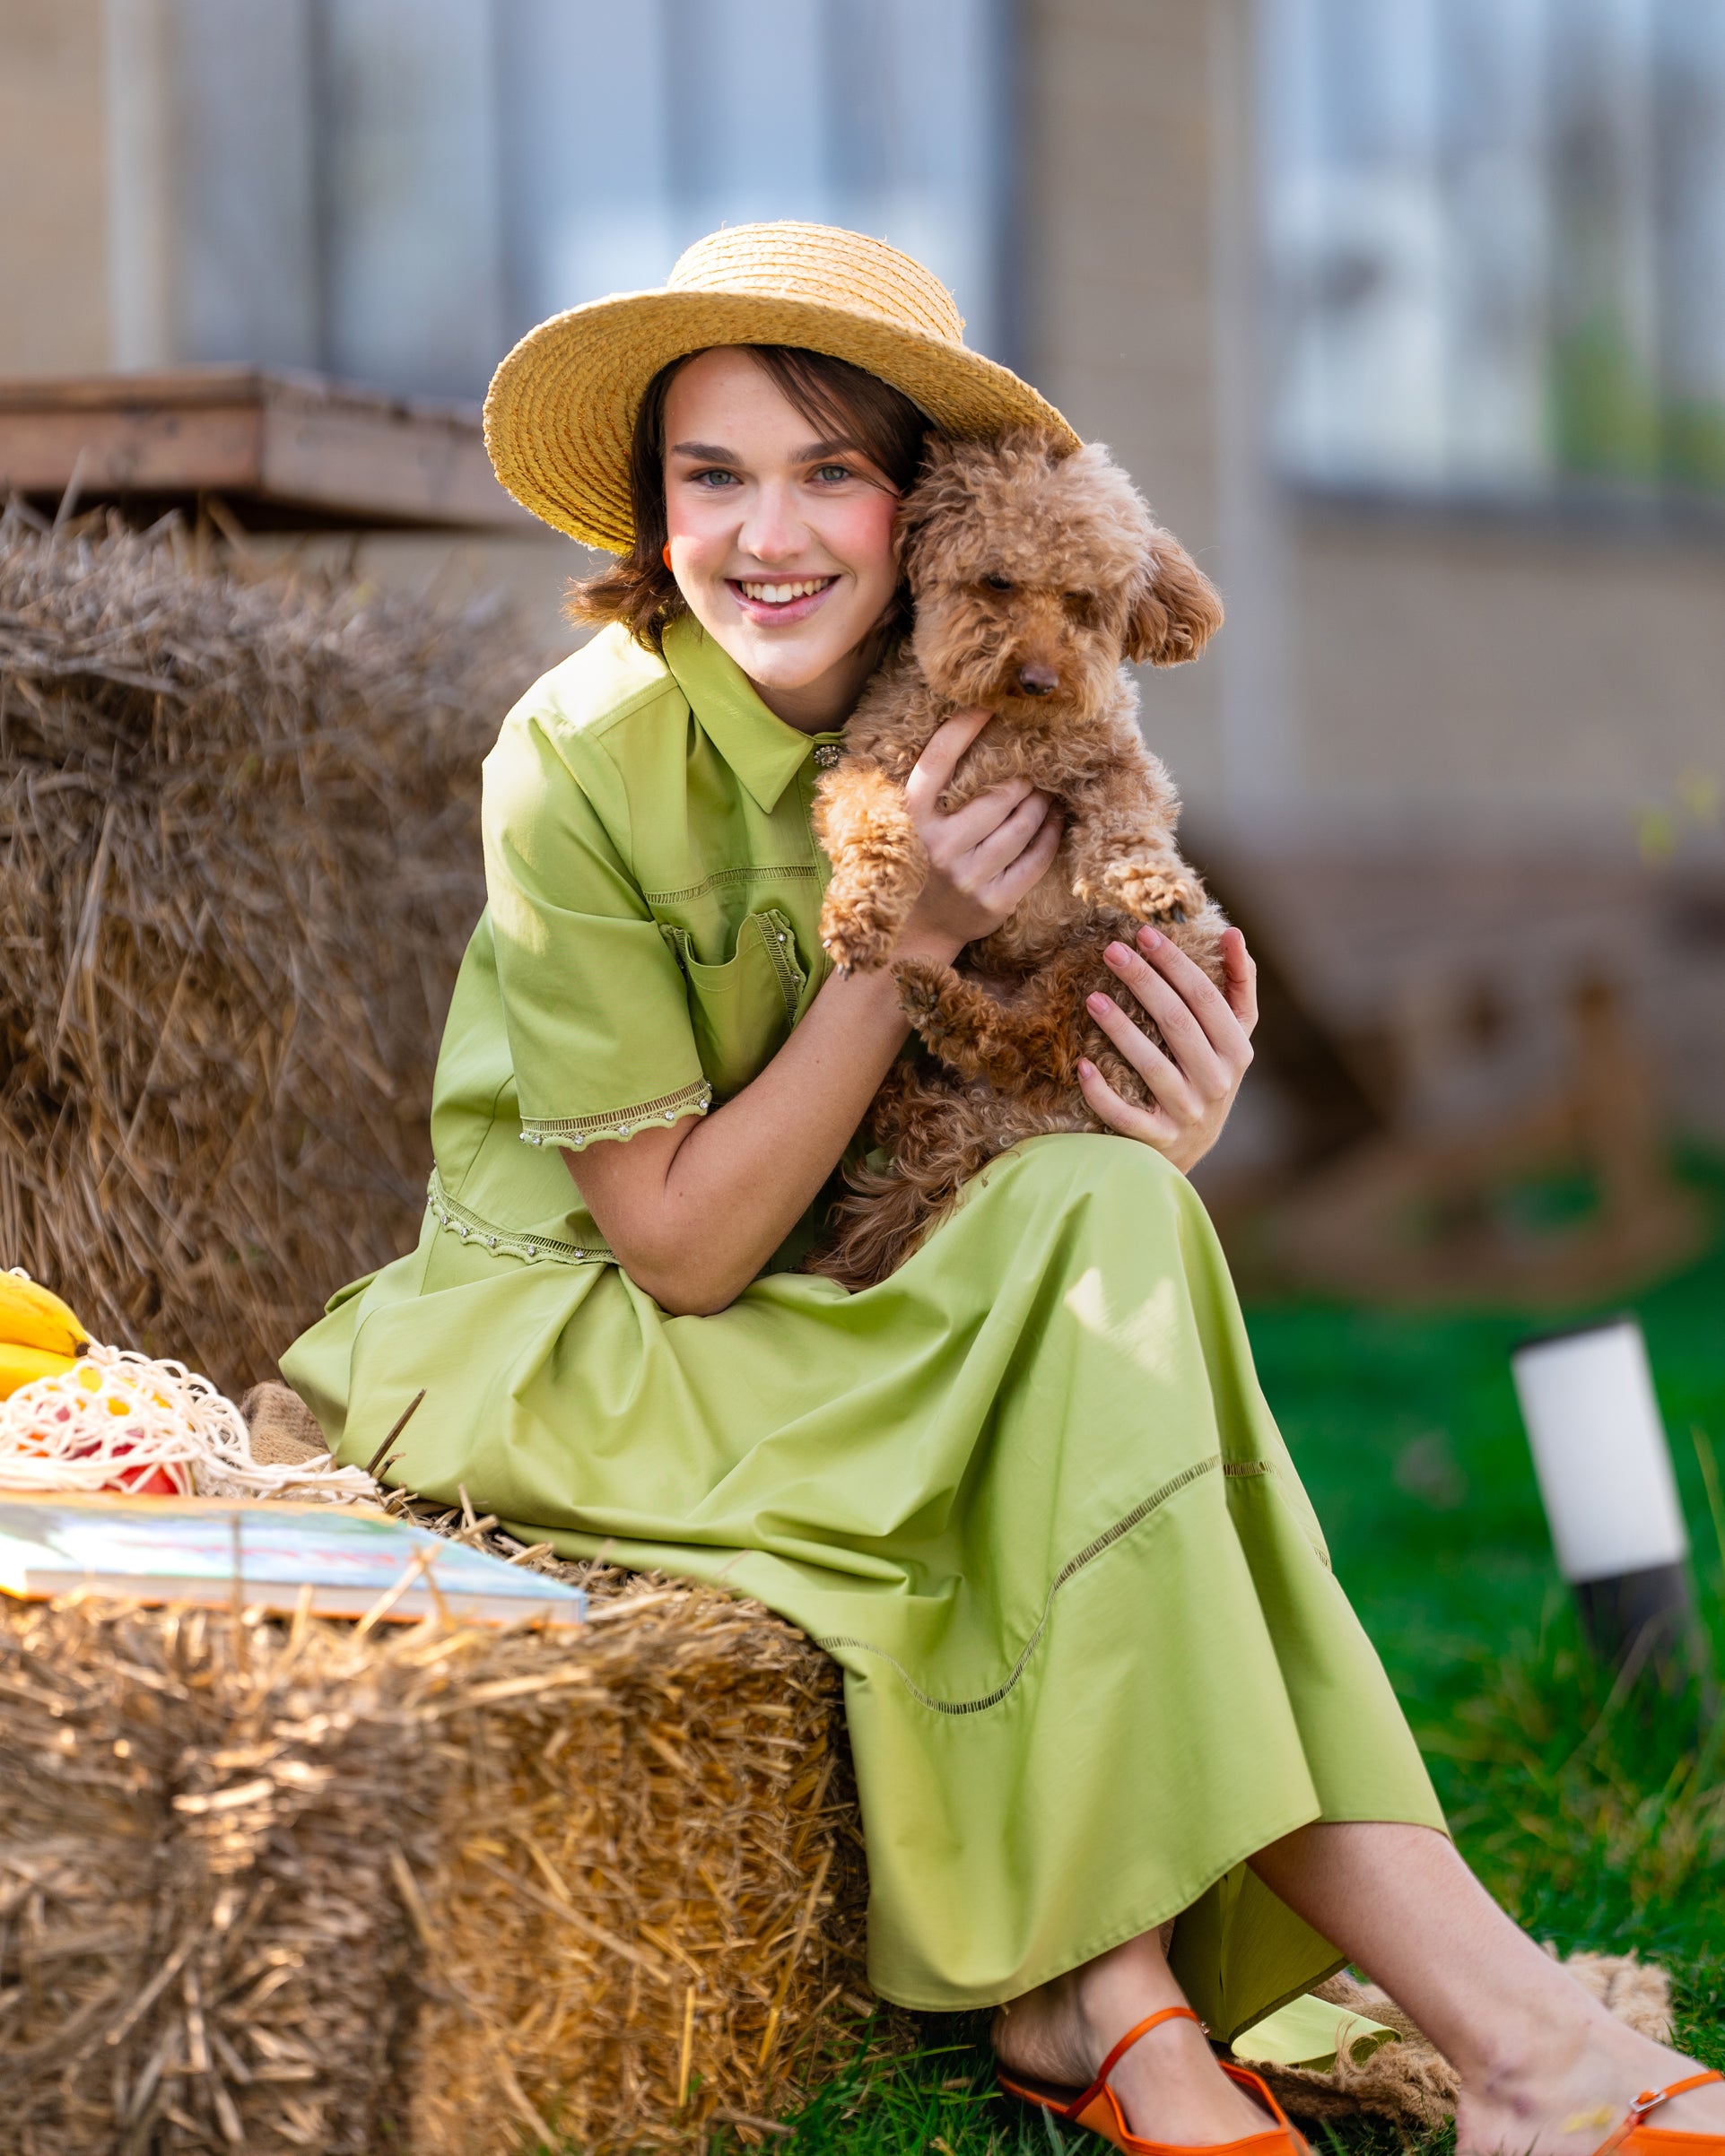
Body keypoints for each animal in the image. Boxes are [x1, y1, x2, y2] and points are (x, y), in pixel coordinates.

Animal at [810, 429, 1224, 1284]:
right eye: (997, 580)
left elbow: (1125, 818)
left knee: (1039, 1048)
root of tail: (1013, 1124)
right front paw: (861, 916)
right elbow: (870, 827)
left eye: (1083, 602)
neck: (1005, 727)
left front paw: (1152, 878)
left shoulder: (1112, 759)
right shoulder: (869, 766)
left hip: (1119, 961)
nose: (1038, 677)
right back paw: (913, 1047)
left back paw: (941, 1012)